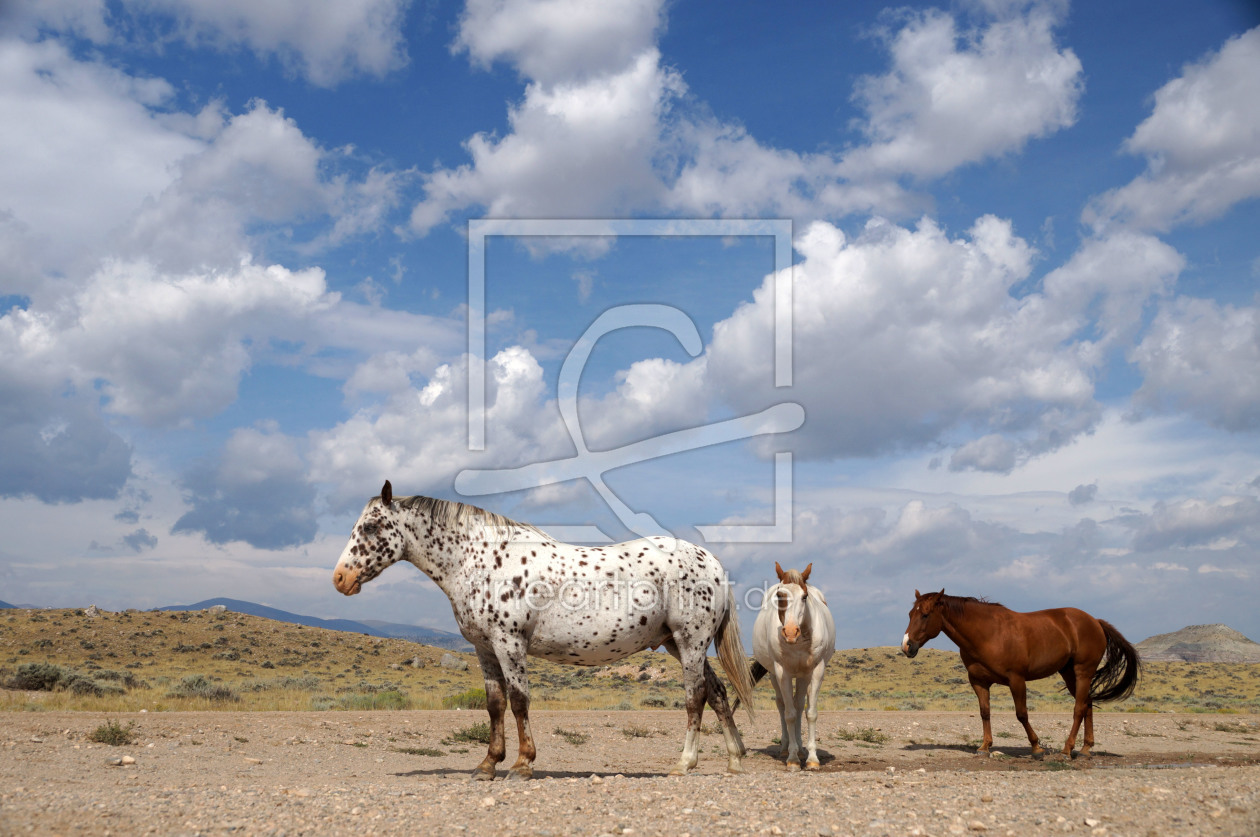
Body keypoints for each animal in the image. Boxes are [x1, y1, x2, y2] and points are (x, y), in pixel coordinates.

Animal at [330, 481, 750, 781]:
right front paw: (487, 765)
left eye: (371, 526)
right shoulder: (484, 648)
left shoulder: (509, 643)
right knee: (717, 692)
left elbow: (519, 701)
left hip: (690, 642)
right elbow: (495, 704)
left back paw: (685, 763)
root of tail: (712, 563)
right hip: (677, 644)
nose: (340, 579)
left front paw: (522, 765)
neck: (481, 559)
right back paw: (734, 761)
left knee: (695, 696)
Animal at [897, 587, 1144, 756]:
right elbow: (985, 712)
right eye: (909, 614)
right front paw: (985, 746)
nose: (907, 646)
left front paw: (1036, 747)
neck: (988, 634)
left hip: (1083, 671)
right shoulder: (979, 682)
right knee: (1088, 704)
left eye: (925, 615)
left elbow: (1021, 714)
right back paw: (1085, 749)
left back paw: (1067, 749)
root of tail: (1095, 621)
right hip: (1069, 673)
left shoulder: (1016, 680)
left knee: (1078, 709)